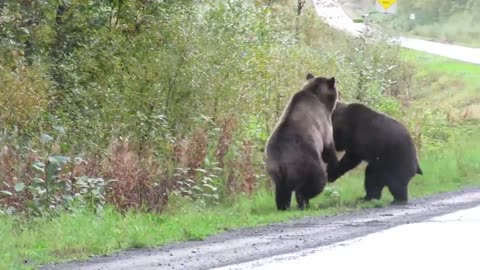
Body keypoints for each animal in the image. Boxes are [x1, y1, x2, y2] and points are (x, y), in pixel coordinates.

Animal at [264, 74, 340, 211]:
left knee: (281, 192)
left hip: (274, 172)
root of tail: (282, 164)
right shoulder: (324, 123)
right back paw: (303, 202)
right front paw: (334, 167)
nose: (341, 93)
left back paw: (283, 206)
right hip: (307, 162)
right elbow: (328, 147)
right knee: (316, 182)